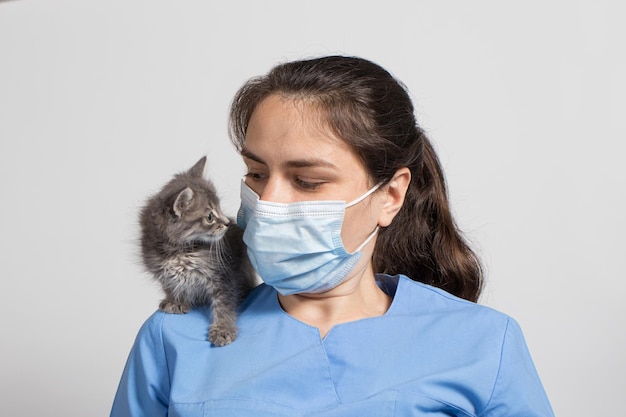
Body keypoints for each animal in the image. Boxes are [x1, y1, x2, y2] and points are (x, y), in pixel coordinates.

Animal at [140, 156, 256, 344]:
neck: (180, 251)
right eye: (209, 217)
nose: (227, 223)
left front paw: (223, 329)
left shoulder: (224, 276)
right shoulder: (161, 270)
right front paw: (175, 301)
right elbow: (170, 286)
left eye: (220, 208)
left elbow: (224, 304)